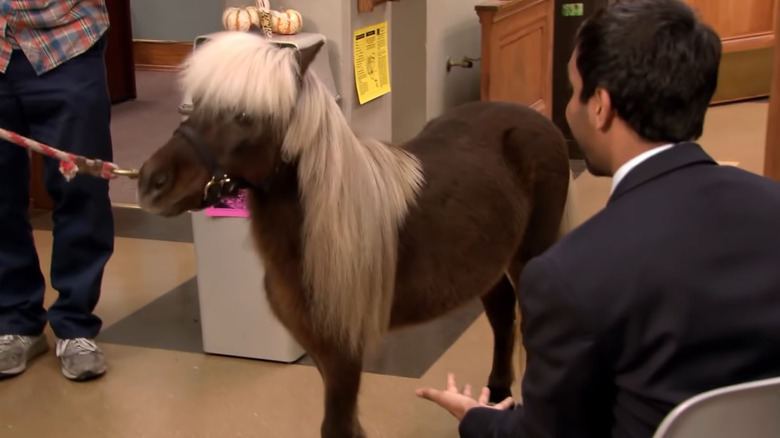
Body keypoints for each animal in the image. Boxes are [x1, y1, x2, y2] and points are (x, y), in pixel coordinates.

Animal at [136, 31, 572, 438]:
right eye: (195, 103)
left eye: (245, 114)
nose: (150, 182)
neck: (323, 231)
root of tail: (536, 118)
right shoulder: (320, 352)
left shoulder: (344, 353)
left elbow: (337, 426)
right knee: (501, 313)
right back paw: (496, 396)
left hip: (529, 253)